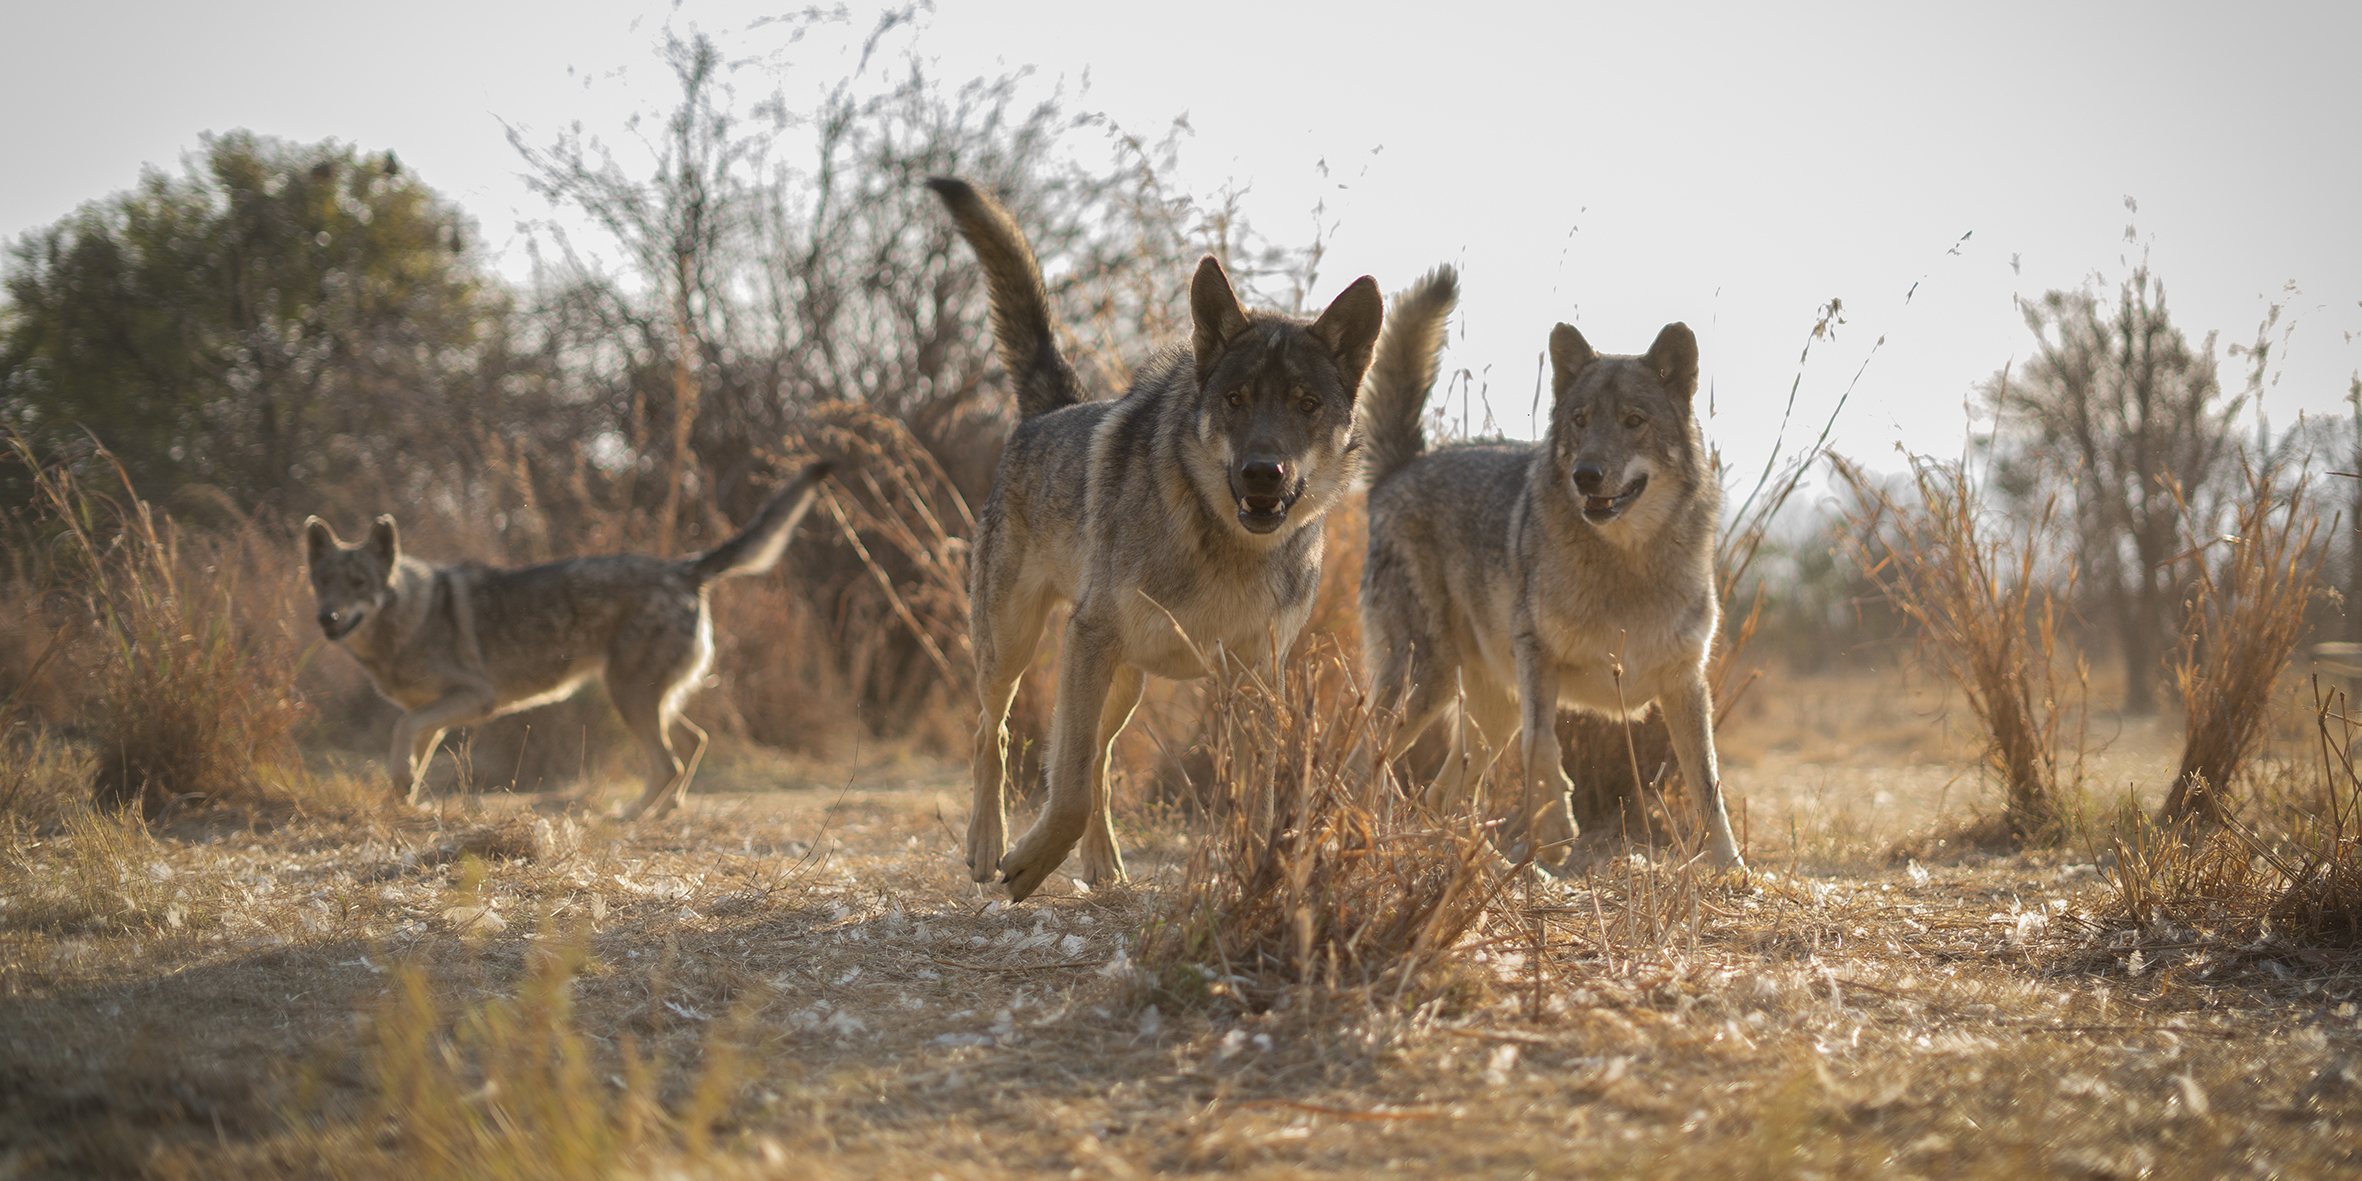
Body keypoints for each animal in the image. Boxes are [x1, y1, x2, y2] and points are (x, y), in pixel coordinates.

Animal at [303, 461, 834, 820]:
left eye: (359, 583)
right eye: (324, 581)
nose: (327, 617)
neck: (407, 622)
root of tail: (684, 568)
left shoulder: (474, 698)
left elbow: (400, 730)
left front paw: (402, 786)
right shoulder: (434, 715)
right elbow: (411, 747)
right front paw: (404, 802)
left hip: (630, 697)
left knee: (668, 763)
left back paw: (631, 816)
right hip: (650, 698)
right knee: (692, 743)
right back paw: (665, 811)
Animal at [928, 176, 1384, 901]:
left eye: (1307, 405)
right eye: (1236, 399)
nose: (1263, 472)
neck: (1227, 549)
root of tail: (1047, 412)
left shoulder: (1256, 677)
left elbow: (1257, 798)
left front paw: (1261, 878)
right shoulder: (1089, 636)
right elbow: (1068, 788)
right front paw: (1026, 864)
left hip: (1124, 684)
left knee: (1099, 758)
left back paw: (1102, 863)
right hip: (1015, 647)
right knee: (991, 734)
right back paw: (987, 844)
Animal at [1360, 278, 1744, 870]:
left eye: (1634, 421)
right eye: (1580, 421)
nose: (1586, 476)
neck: (1626, 565)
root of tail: (1401, 471)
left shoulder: (1685, 684)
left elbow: (1709, 785)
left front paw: (1731, 869)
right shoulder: (1536, 656)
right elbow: (1543, 747)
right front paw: (1559, 828)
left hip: (1487, 712)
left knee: (1438, 795)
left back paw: (1472, 860)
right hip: (1428, 680)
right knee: (1364, 760)